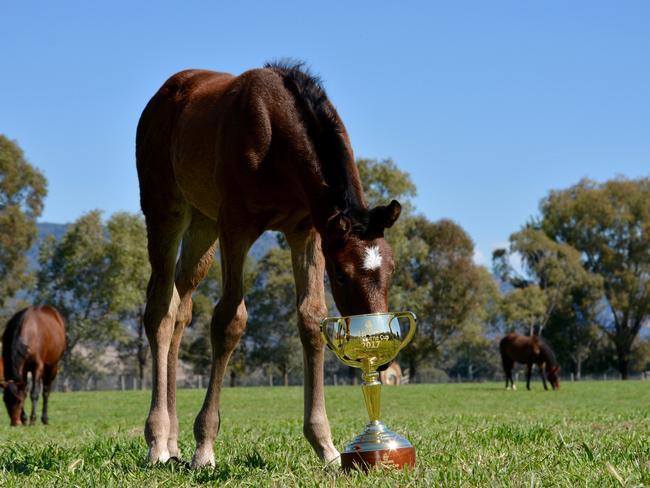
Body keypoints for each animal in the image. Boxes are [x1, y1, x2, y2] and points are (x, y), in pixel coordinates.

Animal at [136, 63, 400, 468]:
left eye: (391, 271)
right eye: (342, 276)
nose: (378, 357)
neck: (276, 131)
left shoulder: (306, 231)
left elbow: (312, 319)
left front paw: (325, 447)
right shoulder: (236, 225)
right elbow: (229, 320)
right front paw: (205, 447)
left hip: (203, 223)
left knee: (181, 306)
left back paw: (172, 442)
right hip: (165, 210)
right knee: (159, 311)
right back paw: (157, 441)